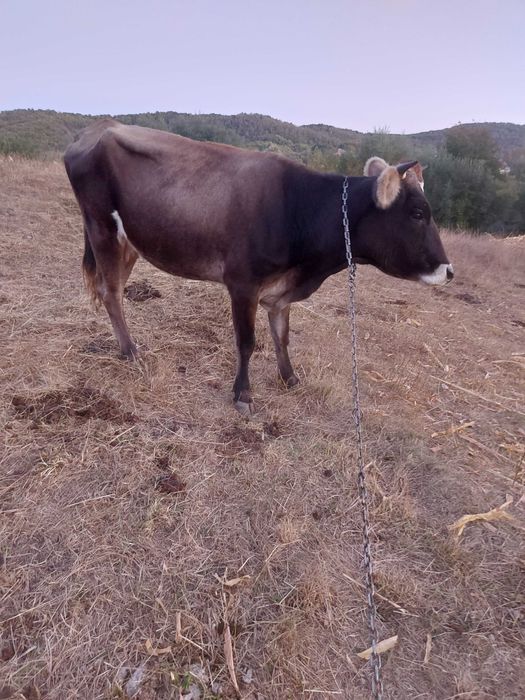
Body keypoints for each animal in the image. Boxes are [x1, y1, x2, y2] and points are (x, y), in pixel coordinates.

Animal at [64, 119, 453, 415]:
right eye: (418, 213)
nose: (448, 270)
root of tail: (97, 128)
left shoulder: (280, 292)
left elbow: (281, 336)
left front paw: (289, 378)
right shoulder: (242, 283)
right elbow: (247, 342)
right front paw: (243, 394)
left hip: (130, 239)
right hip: (101, 227)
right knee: (111, 290)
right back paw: (131, 351)